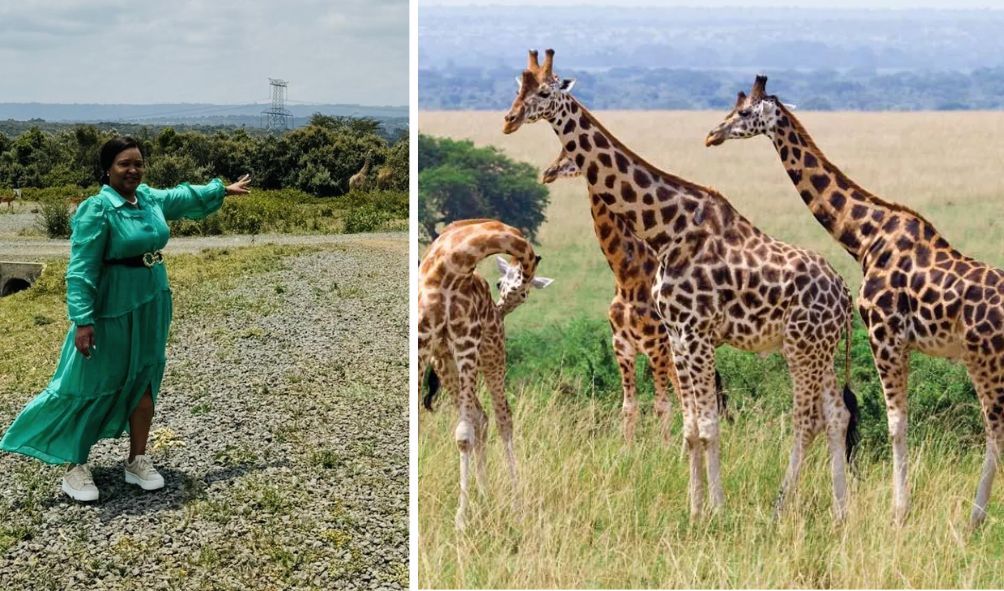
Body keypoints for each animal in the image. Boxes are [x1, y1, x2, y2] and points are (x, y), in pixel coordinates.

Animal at [418, 219, 553, 529]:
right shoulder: (423, 338)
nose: (499, 310)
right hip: (446, 363)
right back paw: (484, 496)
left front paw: (460, 520)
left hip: (491, 359)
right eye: (499, 283)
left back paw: (514, 505)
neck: (453, 266)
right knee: (481, 417)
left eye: (525, 293)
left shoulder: (466, 341)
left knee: (503, 419)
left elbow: (463, 435)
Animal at [542, 150, 731, 446]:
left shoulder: (656, 347)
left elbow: (661, 404)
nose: (547, 173)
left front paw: (664, 448)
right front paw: (627, 449)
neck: (626, 277)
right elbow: (629, 406)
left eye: (568, 155)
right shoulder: (622, 346)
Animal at [706, 75, 1004, 527]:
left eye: (742, 111)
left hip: (986, 360)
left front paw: (898, 514)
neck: (865, 237)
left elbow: (896, 424)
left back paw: (975, 519)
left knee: (995, 430)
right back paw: (976, 518)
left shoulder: (885, 334)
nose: (712, 135)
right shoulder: (898, 341)